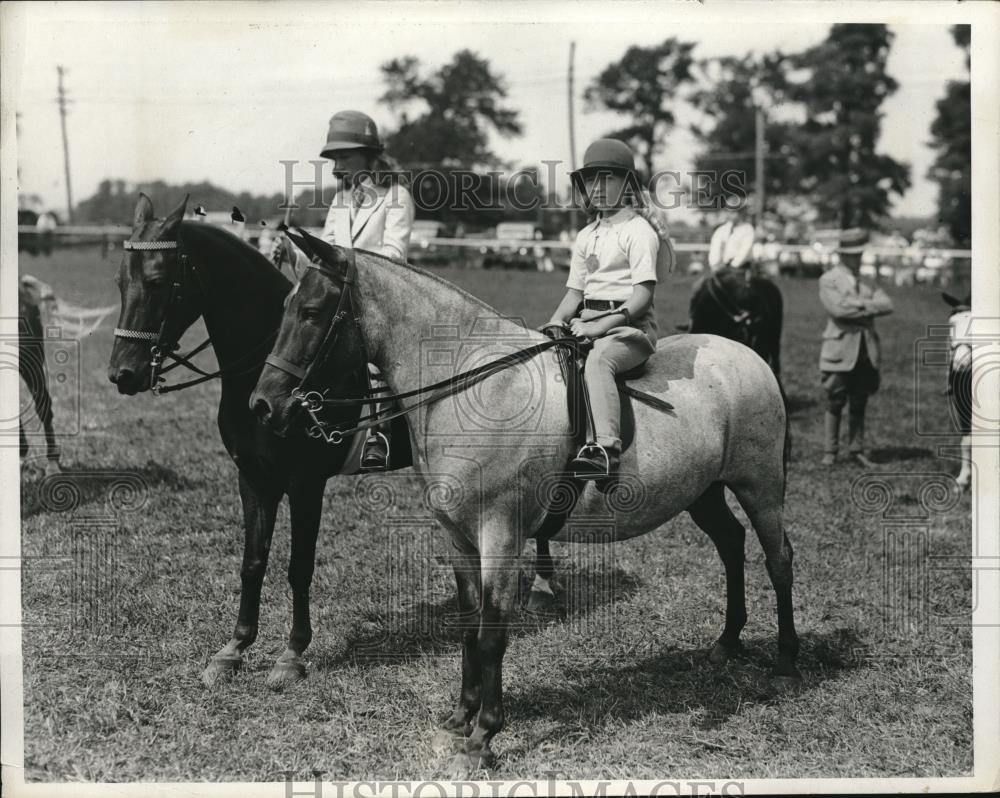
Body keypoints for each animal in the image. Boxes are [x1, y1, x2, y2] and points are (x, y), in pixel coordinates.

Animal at [104, 192, 410, 688]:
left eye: (157, 280)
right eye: (118, 281)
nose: (122, 374)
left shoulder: (306, 483)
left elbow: (299, 566)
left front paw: (292, 653)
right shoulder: (252, 476)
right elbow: (253, 562)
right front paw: (234, 648)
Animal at [252, 233, 804, 776]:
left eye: (312, 312)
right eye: (285, 307)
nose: (263, 405)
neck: (476, 388)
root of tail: (746, 354)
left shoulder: (501, 534)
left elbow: (493, 633)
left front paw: (483, 738)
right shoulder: (457, 536)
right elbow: (469, 624)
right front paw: (459, 719)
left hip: (759, 485)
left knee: (778, 558)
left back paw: (786, 663)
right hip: (702, 491)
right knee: (731, 544)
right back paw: (727, 643)